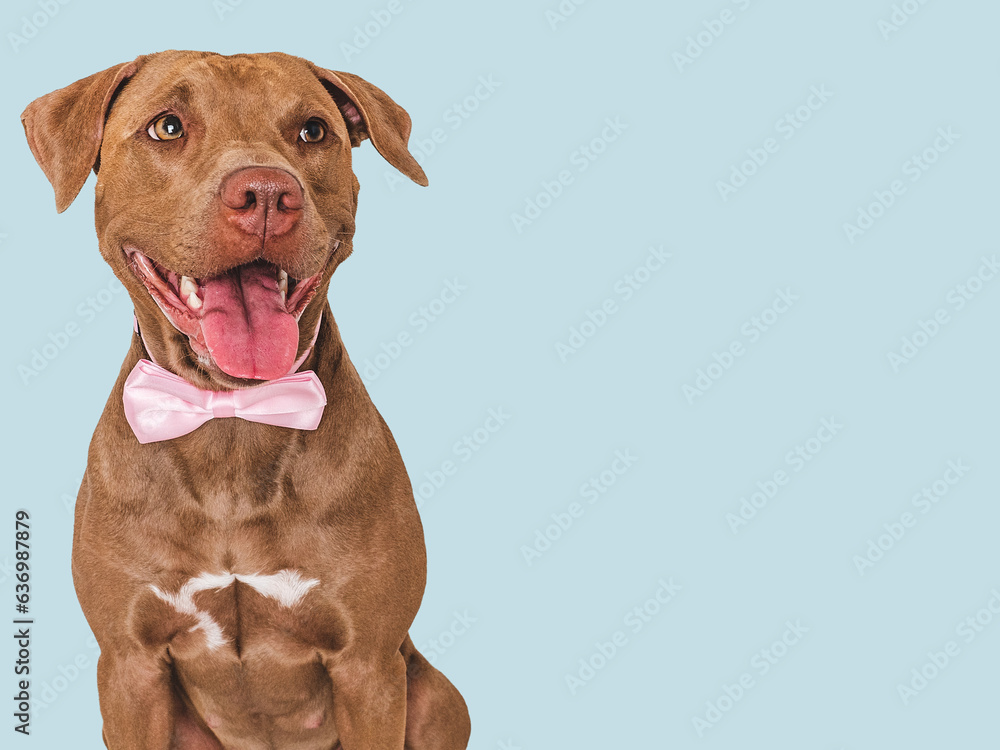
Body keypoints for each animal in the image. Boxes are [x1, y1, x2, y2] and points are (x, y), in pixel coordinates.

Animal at [20, 51, 472, 750]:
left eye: (313, 131)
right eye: (167, 126)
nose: (265, 193)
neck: (231, 418)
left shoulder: (369, 667)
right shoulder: (129, 668)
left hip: (434, 696)